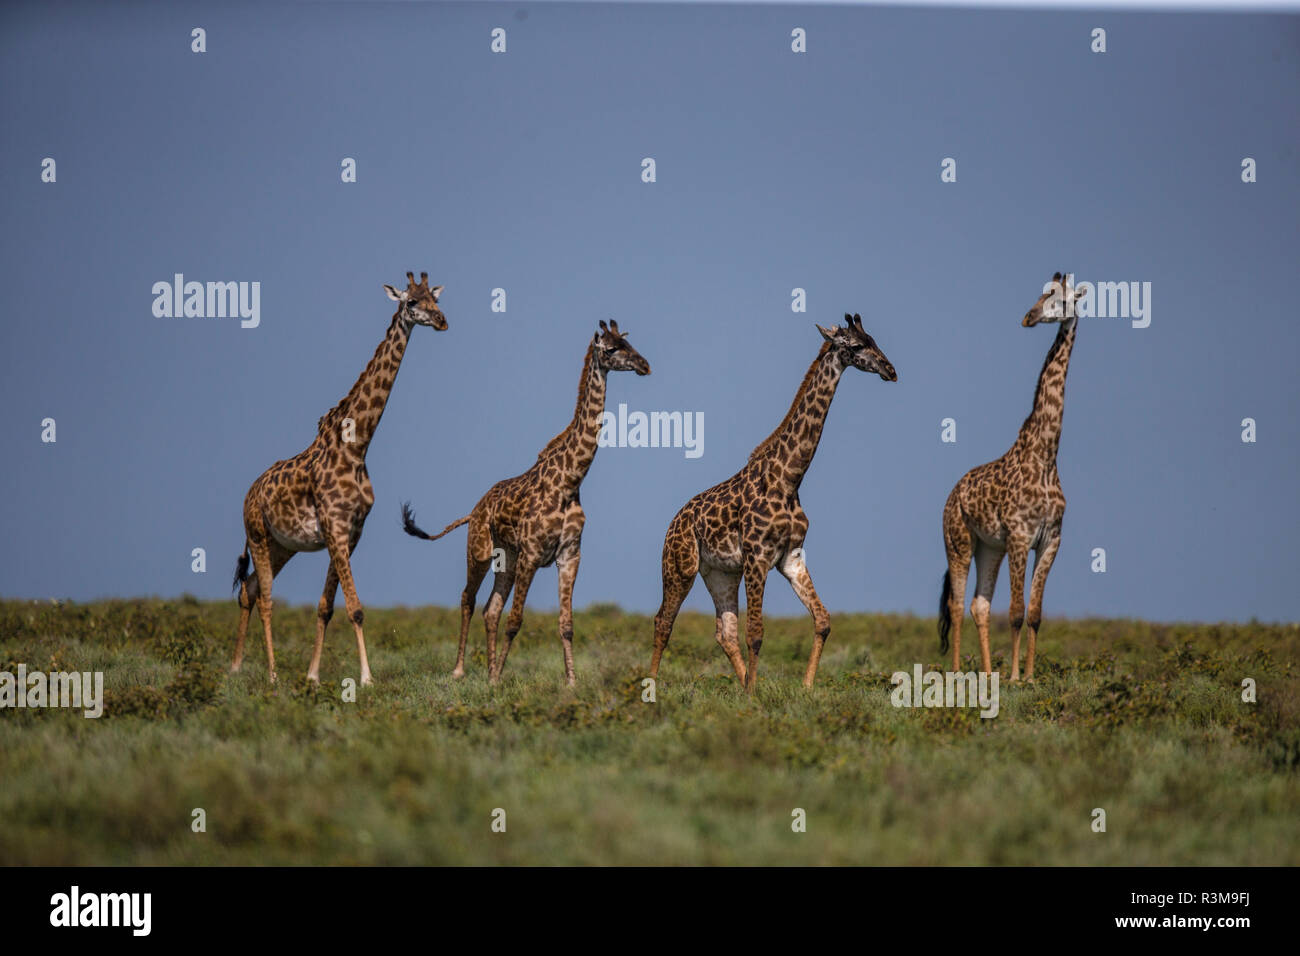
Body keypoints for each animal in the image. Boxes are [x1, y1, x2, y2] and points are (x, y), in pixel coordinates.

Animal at [233, 273, 452, 686]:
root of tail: (250, 492)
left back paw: (235, 666)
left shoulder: (351, 532)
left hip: (283, 544)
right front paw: (366, 678)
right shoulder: (334, 527)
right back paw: (271, 675)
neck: (357, 445)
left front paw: (313, 676)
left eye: (435, 299)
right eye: (411, 302)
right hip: (257, 534)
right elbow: (355, 608)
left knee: (249, 589)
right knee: (265, 597)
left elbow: (326, 607)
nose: (442, 320)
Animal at [400, 321, 650, 686]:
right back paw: (460, 670)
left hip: (507, 558)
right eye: (611, 348)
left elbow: (566, 624)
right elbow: (516, 620)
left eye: (629, 343)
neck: (570, 481)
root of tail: (473, 511)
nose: (644, 365)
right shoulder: (532, 553)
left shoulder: (569, 555)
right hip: (480, 551)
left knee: (490, 609)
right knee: (468, 599)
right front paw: (499, 677)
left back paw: (489, 670)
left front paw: (570, 682)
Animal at [647, 316, 894, 697]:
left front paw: (803, 687)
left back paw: (739, 683)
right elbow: (757, 632)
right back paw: (651, 687)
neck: (789, 479)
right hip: (680, 566)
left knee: (724, 632)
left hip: (720, 573)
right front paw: (752, 696)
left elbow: (822, 620)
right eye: (855, 345)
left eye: (874, 340)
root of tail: (673, 522)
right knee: (663, 621)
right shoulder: (757, 557)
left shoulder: (791, 557)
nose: (889, 369)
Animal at [941, 273, 1092, 686]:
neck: (1045, 456)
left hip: (989, 547)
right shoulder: (1021, 537)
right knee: (956, 604)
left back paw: (987, 672)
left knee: (979, 604)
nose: (1029, 317)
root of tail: (952, 494)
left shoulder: (1051, 540)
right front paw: (1014, 678)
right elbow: (1016, 611)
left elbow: (1035, 613)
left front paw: (1028, 676)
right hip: (959, 541)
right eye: (1041, 295)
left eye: (1063, 299)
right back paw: (958, 672)